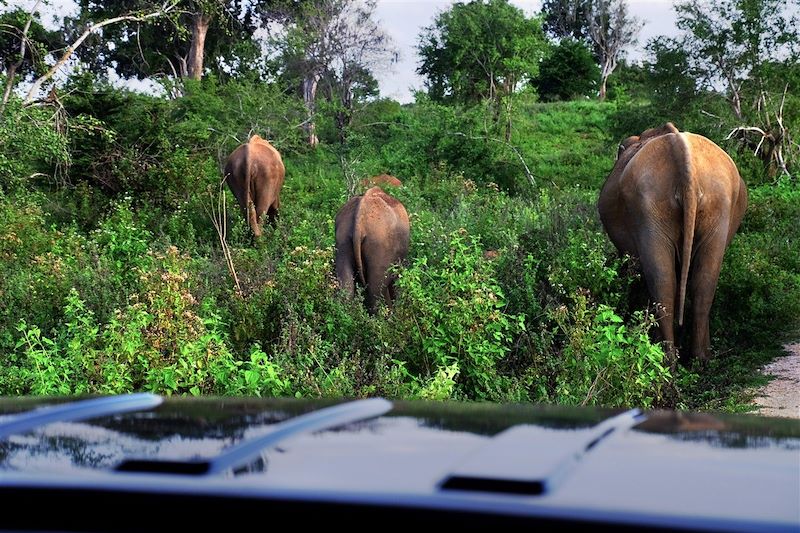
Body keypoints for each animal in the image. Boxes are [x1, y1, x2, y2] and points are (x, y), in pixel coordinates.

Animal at [600, 122, 752, 360]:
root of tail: (686, 163)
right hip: (715, 204)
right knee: (701, 282)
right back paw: (698, 360)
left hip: (649, 207)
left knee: (663, 281)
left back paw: (668, 360)